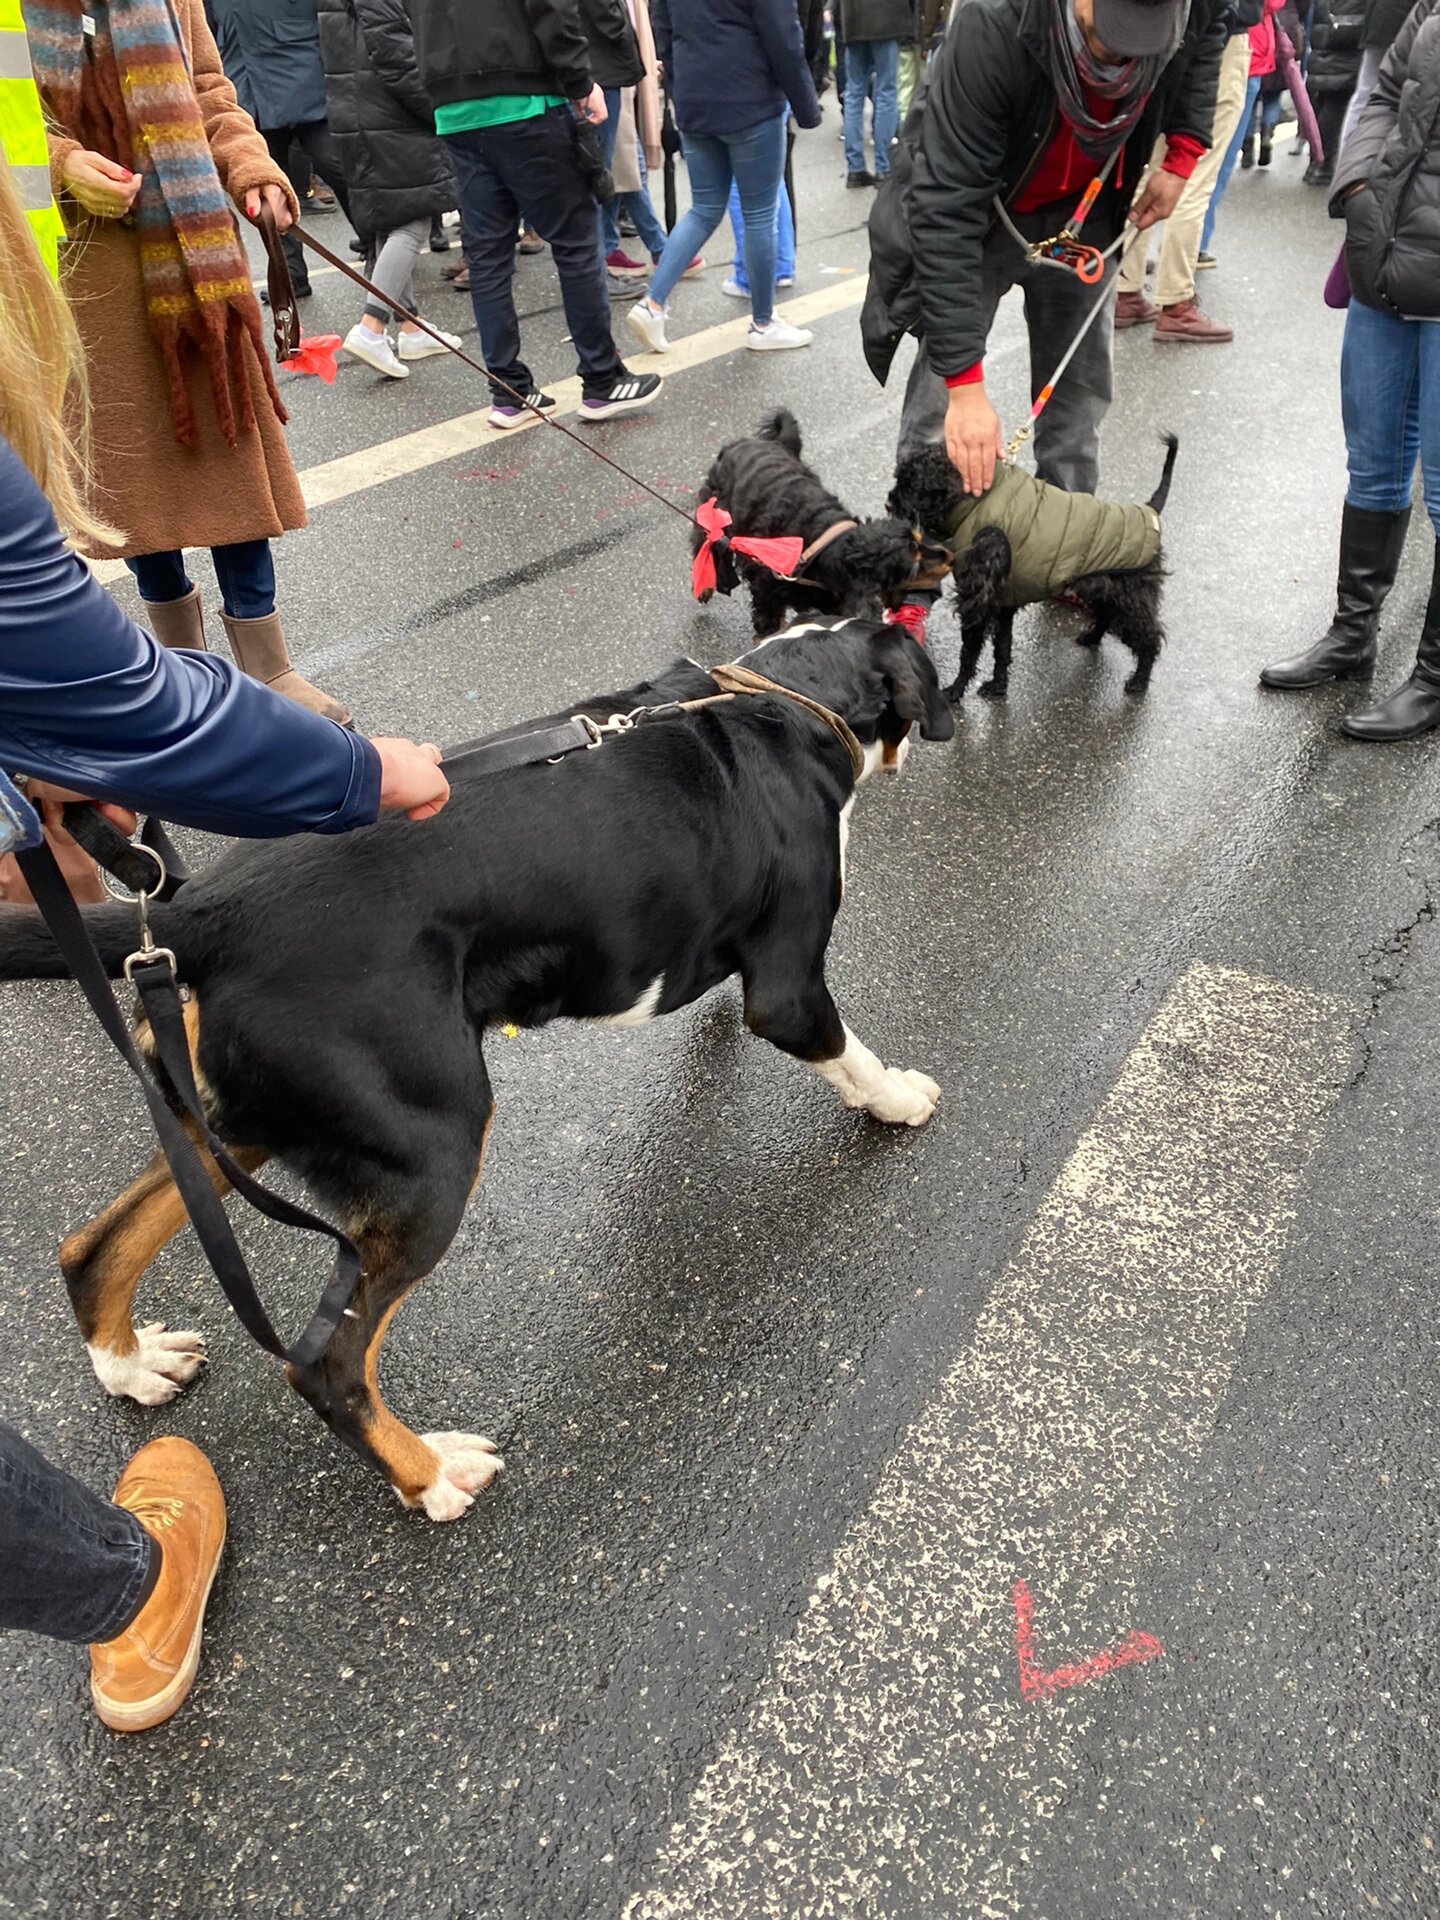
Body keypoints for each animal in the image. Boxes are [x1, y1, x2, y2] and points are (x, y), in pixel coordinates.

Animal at [0, 622, 960, 1520]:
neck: (777, 697)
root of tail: (203, 914)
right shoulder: (791, 989)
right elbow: (850, 1053)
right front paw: (899, 1099)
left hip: (235, 1128)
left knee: (95, 1247)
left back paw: (130, 1367)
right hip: (430, 1153)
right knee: (326, 1366)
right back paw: (430, 1475)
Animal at [695, 410, 952, 637]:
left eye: (920, 538)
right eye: (914, 567)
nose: (949, 556)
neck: (822, 545)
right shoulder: (765, 583)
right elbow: (767, 620)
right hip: (714, 512)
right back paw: (705, 586)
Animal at [890, 435, 1182, 706]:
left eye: (910, 484)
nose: (889, 501)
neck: (976, 502)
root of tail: (1149, 509)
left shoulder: (978, 603)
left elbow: (970, 651)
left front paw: (955, 690)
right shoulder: (1003, 604)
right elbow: (1002, 648)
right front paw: (998, 686)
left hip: (1131, 599)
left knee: (1150, 638)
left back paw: (1139, 680)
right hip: (1106, 590)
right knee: (1107, 615)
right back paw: (1092, 637)